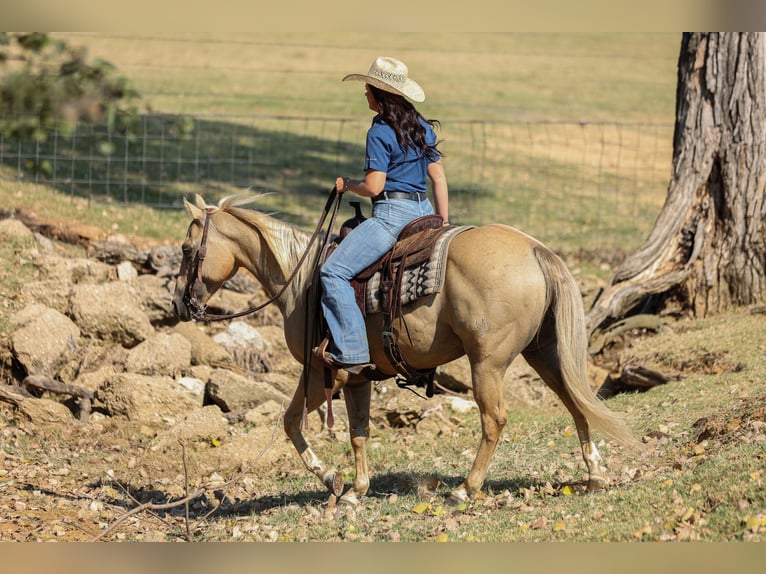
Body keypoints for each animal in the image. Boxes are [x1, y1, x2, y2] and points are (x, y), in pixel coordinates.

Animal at [172, 193, 639, 505]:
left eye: (186, 248)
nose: (180, 303)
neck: (304, 283)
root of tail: (535, 248)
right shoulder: (356, 377)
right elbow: (358, 433)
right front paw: (355, 490)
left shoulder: (321, 373)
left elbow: (291, 423)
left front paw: (330, 478)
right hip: (544, 353)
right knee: (576, 402)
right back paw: (595, 474)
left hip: (487, 363)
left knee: (495, 419)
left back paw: (465, 490)